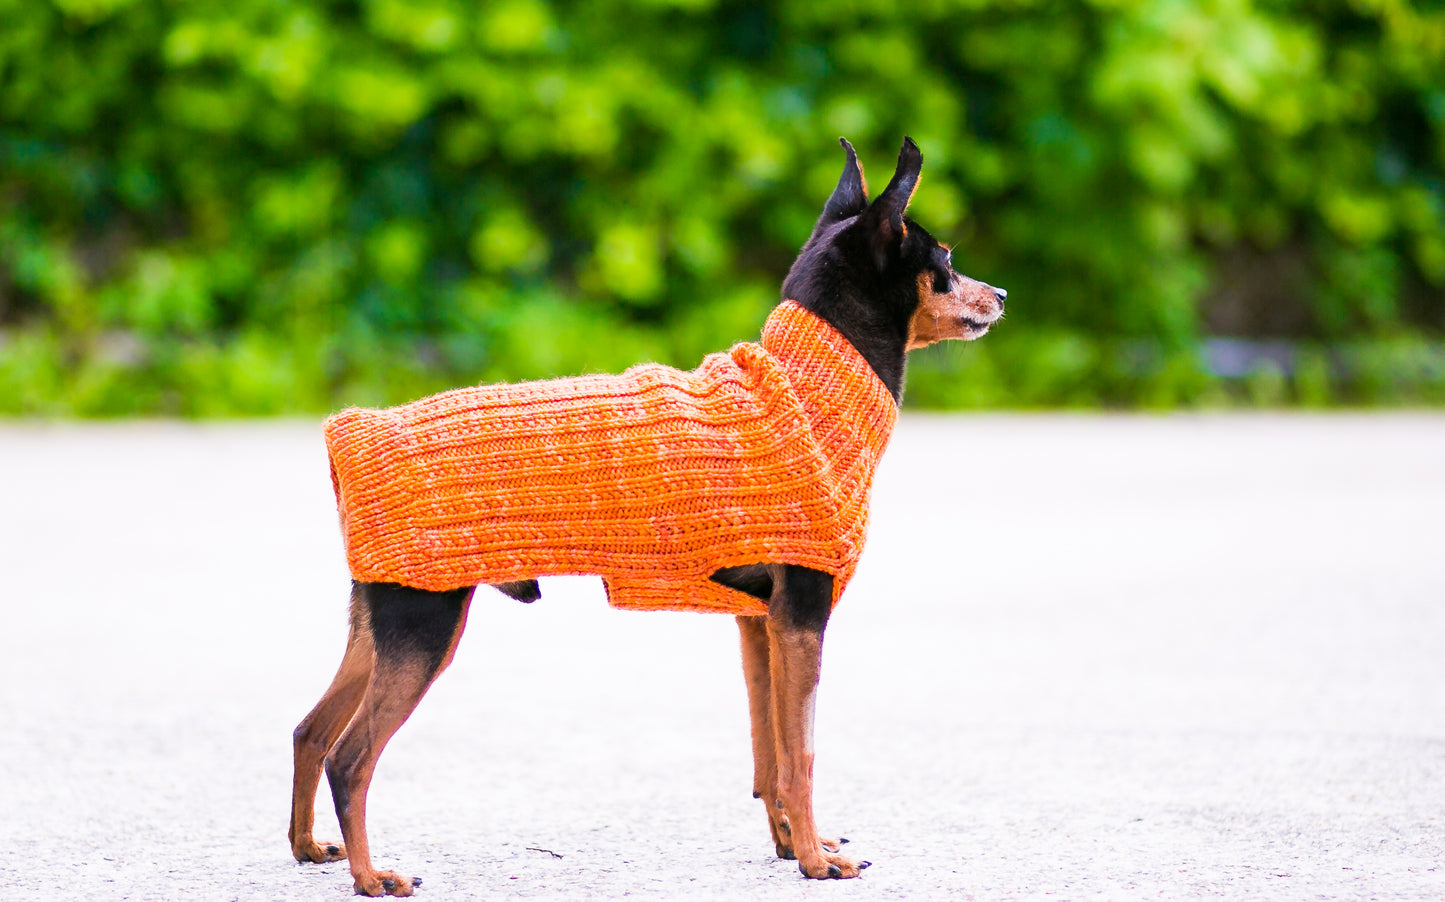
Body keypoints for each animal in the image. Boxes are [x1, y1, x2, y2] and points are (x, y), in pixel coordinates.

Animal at [289, 135, 1011, 896]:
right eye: (945, 264)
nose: (1000, 295)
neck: (805, 391)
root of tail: (350, 439)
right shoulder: (802, 619)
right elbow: (803, 755)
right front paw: (818, 861)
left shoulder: (760, 625)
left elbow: (770, 756)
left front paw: (791, 844)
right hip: (424, 624)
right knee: (350, 757)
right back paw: (372, 875)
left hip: (380, 625)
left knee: (310, 731)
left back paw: (309, 847)